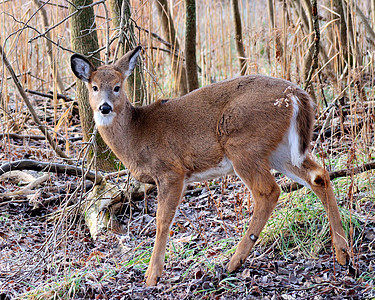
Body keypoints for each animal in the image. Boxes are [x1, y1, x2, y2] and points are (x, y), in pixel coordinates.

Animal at [72, 46, 352, 286]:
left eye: (117, 87)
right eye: (94, 87)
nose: (104, 107)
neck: (136, 135)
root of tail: (296, 96)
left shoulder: (171, 171)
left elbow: (162, 220)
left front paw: (152, 275)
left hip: (243, 144)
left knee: (268, 191)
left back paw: (234, 261)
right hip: (280, 151)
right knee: (319, 175)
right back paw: (343, 253)